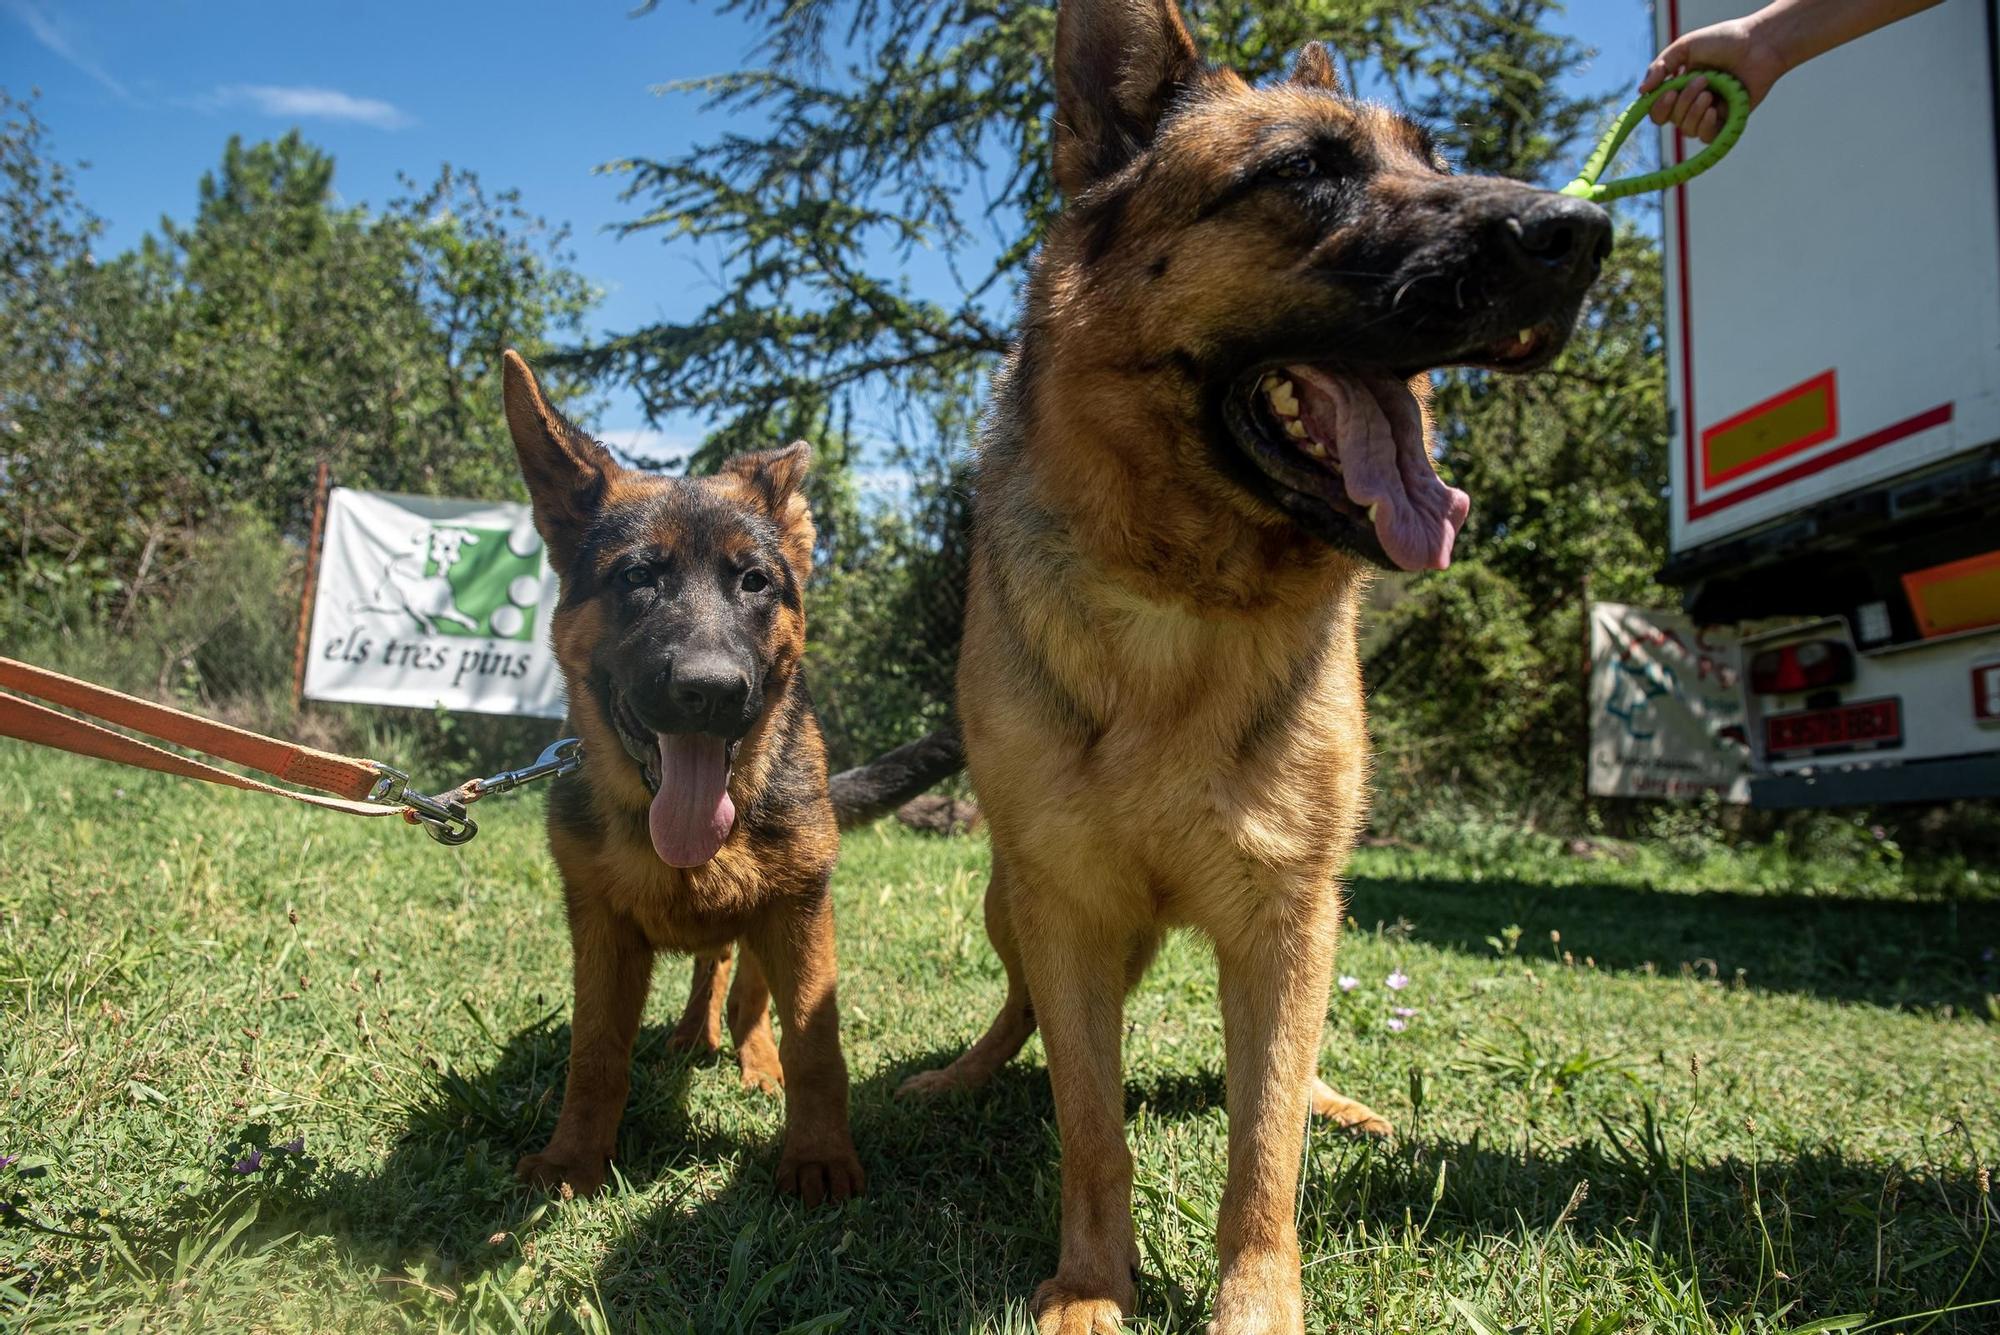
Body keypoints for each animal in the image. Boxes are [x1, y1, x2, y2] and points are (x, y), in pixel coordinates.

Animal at [498, 349, 860, 1207]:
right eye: (638, 577)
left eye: (755, 581)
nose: (712, 690)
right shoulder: (599, 930)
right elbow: (595, 1053)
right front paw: (573, 1159)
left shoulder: (800, 908)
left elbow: (815, 1043)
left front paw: (818, 1154)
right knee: (712, 968)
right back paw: (695, 1033)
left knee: (744, 986)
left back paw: (751, 1058)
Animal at [900, 5, 1616, 1327]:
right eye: (1300, 171)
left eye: (1430, 157)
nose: (1579, 233)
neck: (1185, 603)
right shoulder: (1065, 910)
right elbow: (1091, 1126)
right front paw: (1090, 1287)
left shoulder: (1287, 918)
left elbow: (1263, 1139)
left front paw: (1255, 1296)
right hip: (1005, 903)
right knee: (1018, 1017)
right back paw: (963, 1075)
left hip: (1316, 927)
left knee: (1293, 1073)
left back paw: (1338, 1101)